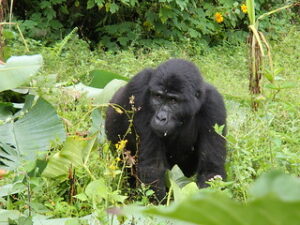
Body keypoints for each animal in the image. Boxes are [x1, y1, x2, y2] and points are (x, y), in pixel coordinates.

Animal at [105, 58, 225, 200]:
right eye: (158, 97)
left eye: (173, 100)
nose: (160, 118)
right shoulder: (139, 88)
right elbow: (153, 167)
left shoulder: (214, 104)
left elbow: (211, 171)